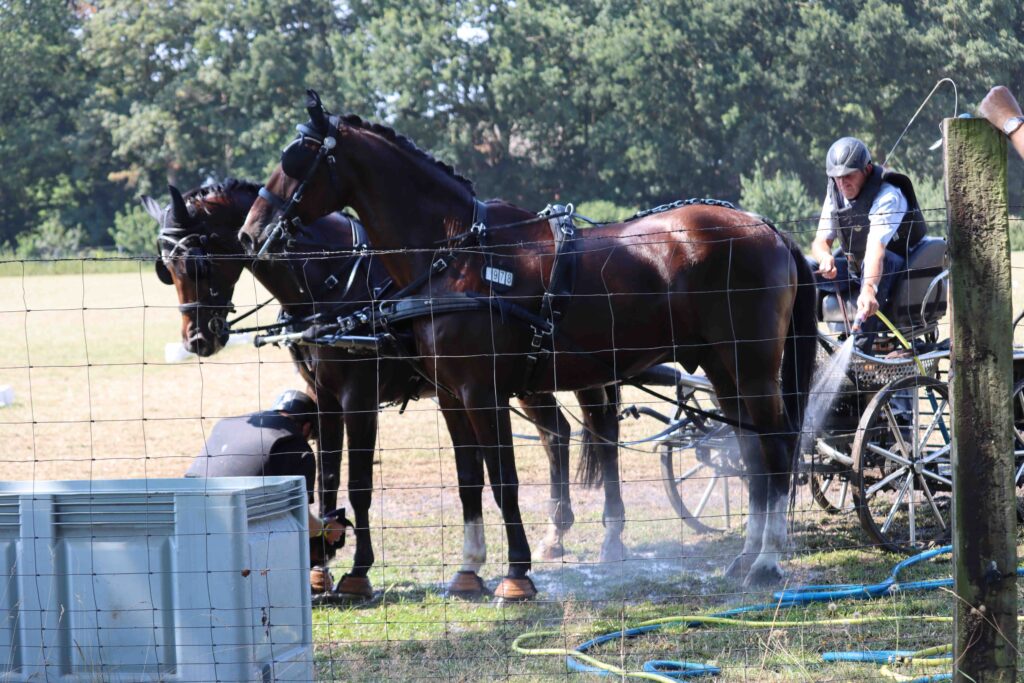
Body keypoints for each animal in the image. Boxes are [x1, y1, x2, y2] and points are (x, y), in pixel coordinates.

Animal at [144, 178, 622, 598]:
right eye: (165, 268)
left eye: (197, 262)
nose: (197, 339)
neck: (336, 281)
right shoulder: (326, 397)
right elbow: (328, 478)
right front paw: (319, 569)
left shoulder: (359, 399)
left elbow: (359, 485)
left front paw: (358, 572)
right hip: (527, 380)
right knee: (557, 433)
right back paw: (555, 534)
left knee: (600, 437)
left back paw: (607, 537)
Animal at [239, 92, 815, 598]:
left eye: (296, 158)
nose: (250, 233)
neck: (458, 256)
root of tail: (769, 228)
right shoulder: (450, 397)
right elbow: (469, 480)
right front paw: (468, 570)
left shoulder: (478, 393)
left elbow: (503, 481)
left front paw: (516, 575)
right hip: (720, 366)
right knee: (748, 449)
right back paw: (745, 554)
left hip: (752, 365)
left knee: (777, 442)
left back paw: (766, 560)